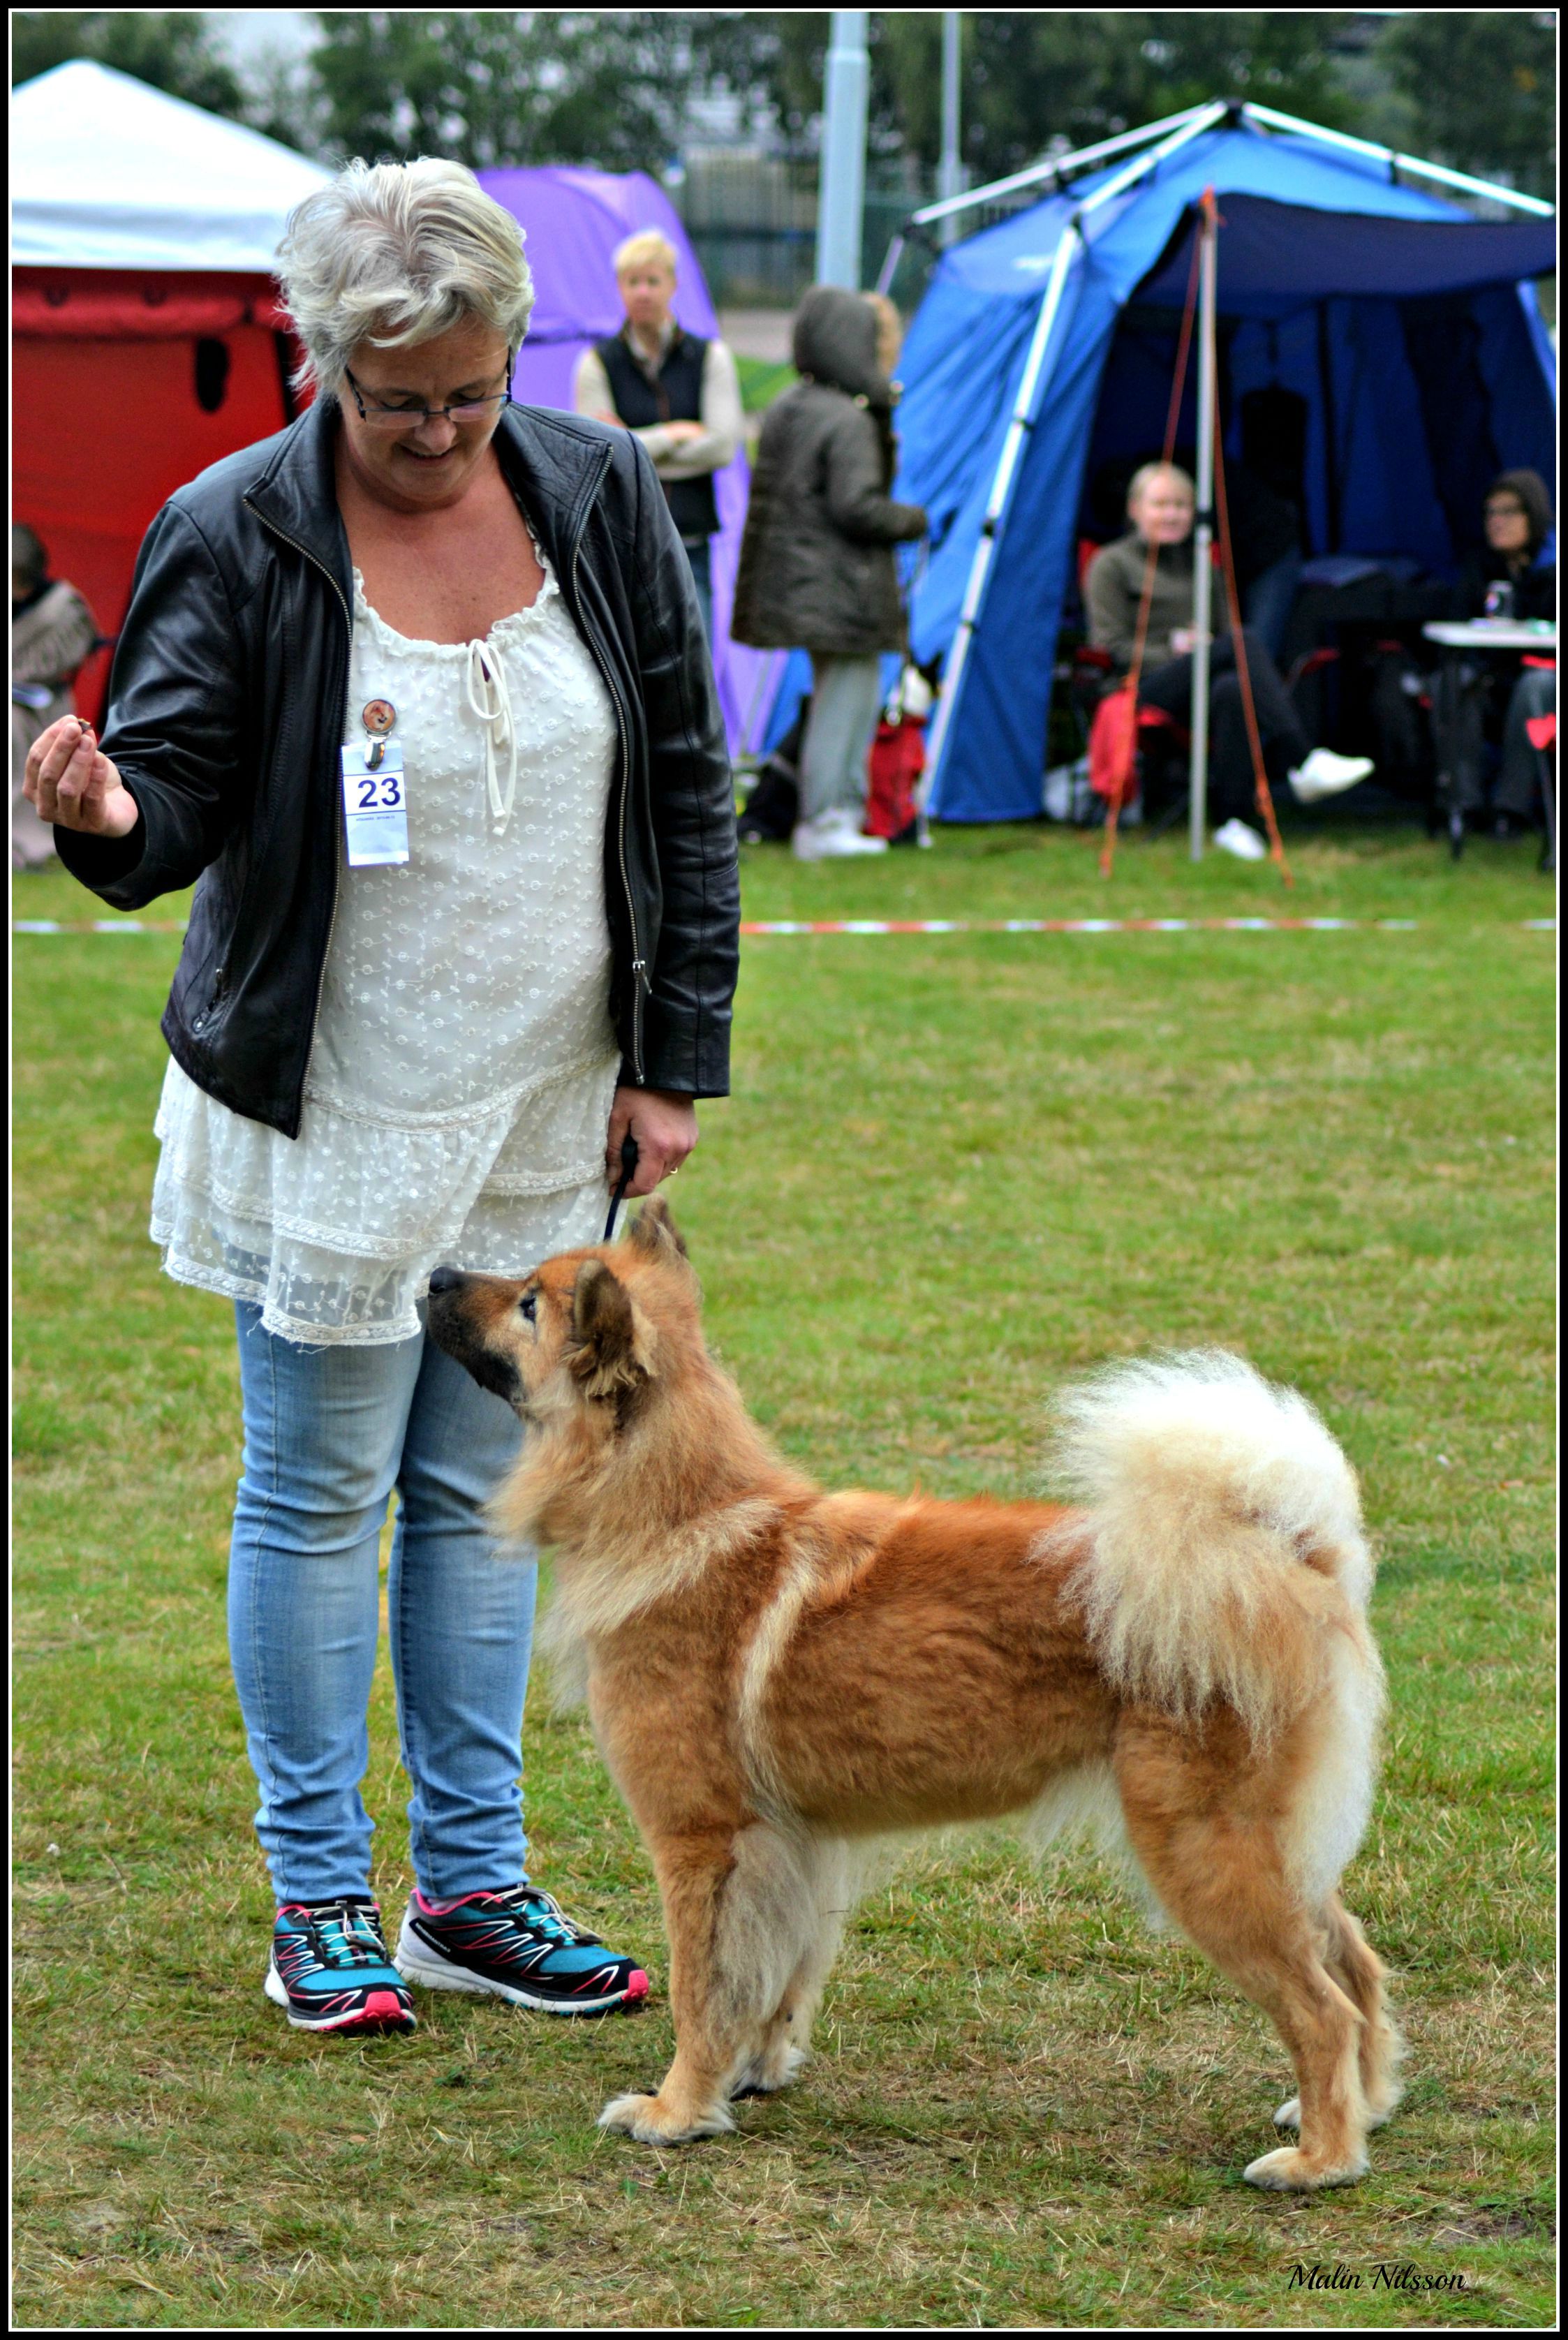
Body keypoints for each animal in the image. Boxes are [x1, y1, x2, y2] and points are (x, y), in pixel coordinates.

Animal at [426, 1198, 1400, 2190]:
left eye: (530, 1304)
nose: (434, 1276)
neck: (681, 1519)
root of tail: (1293, 1555)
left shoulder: (698, 1841)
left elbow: (704, 1992)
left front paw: (675, 2109)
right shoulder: (792, 1845)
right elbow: (777, 1976)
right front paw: (751, 2074)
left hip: (1200, 1847)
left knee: (1321, 2007)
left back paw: (1319, 2157)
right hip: (1271, 1850)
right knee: (1355, 1965)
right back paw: (1357, 2110)